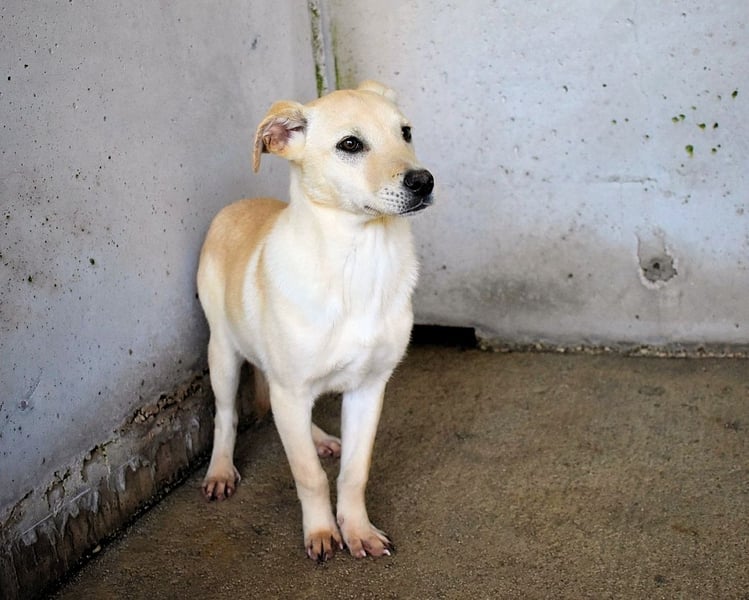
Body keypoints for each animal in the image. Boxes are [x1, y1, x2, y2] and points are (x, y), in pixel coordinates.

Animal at [196, 80, 434, 561]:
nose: (424, 181)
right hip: (223, 354)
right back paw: (221, 470)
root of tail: (238, 203)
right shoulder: (289, 389)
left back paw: (320, 438)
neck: (360, 259)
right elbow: (309, 476)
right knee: (226, 416)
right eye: (350, 144)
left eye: (406, 132)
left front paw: (357, 529)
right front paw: (323, 531)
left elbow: (354, 472)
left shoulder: (368, 388)